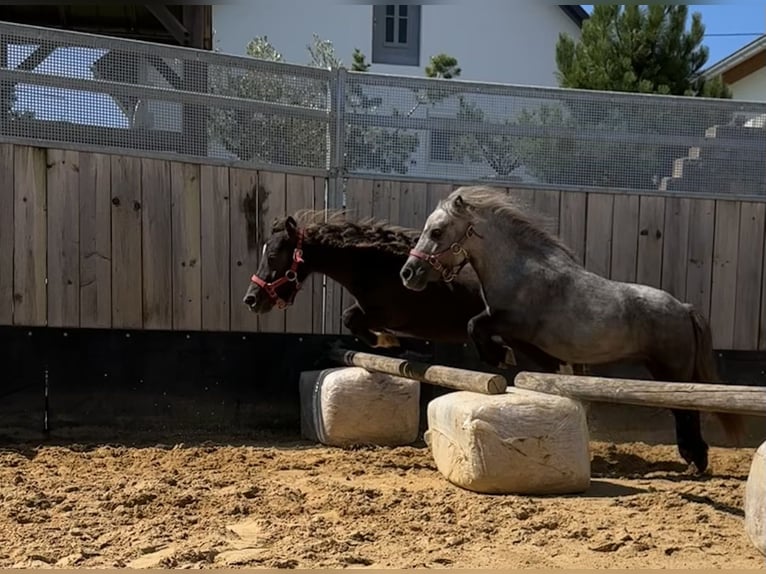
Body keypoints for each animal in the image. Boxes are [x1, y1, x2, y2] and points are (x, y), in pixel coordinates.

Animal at [243, 209, 580, 376]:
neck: (379, 266)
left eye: (273, 256)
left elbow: (352, 319)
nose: (251, 299)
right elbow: (351, 317)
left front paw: (387, 341)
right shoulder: (370, 310)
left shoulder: (389, 314)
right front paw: (390, 343)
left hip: (526, 340)